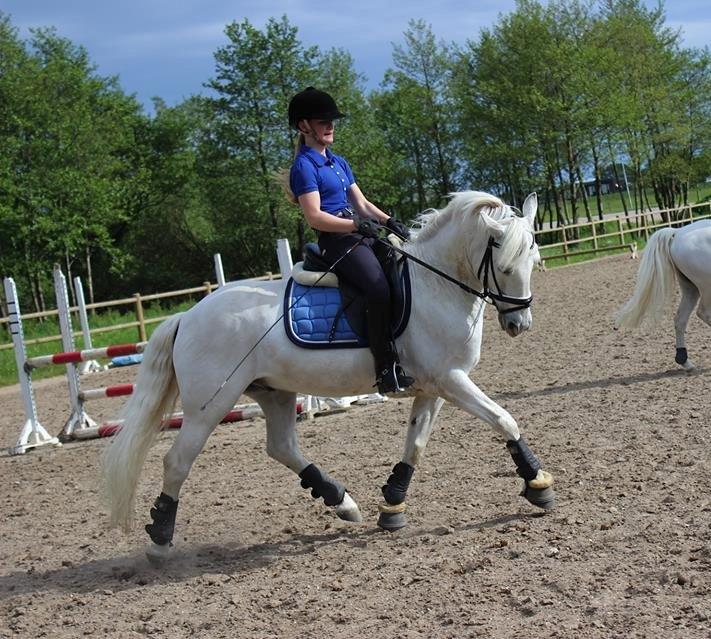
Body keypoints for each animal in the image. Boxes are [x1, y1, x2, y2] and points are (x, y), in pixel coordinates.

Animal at [101, 189, 556, 560]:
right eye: (504, 266)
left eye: (534, 261)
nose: (519, 324)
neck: (436, 286)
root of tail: (188, 315)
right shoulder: (451, 379)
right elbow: (504, 419)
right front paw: (538, 485)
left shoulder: (434, 386)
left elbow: (415, 445)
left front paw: (392, 504)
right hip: (208, 405)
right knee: (178, 461)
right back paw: (160, 539)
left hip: (274, 392)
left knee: (281, 447)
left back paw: (343, 502)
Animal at [616, 220, 711, 370]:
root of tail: (678, 232)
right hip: (706, 285)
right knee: (703, 313)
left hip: (691, 288)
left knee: (680, 319)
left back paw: (685, 362)